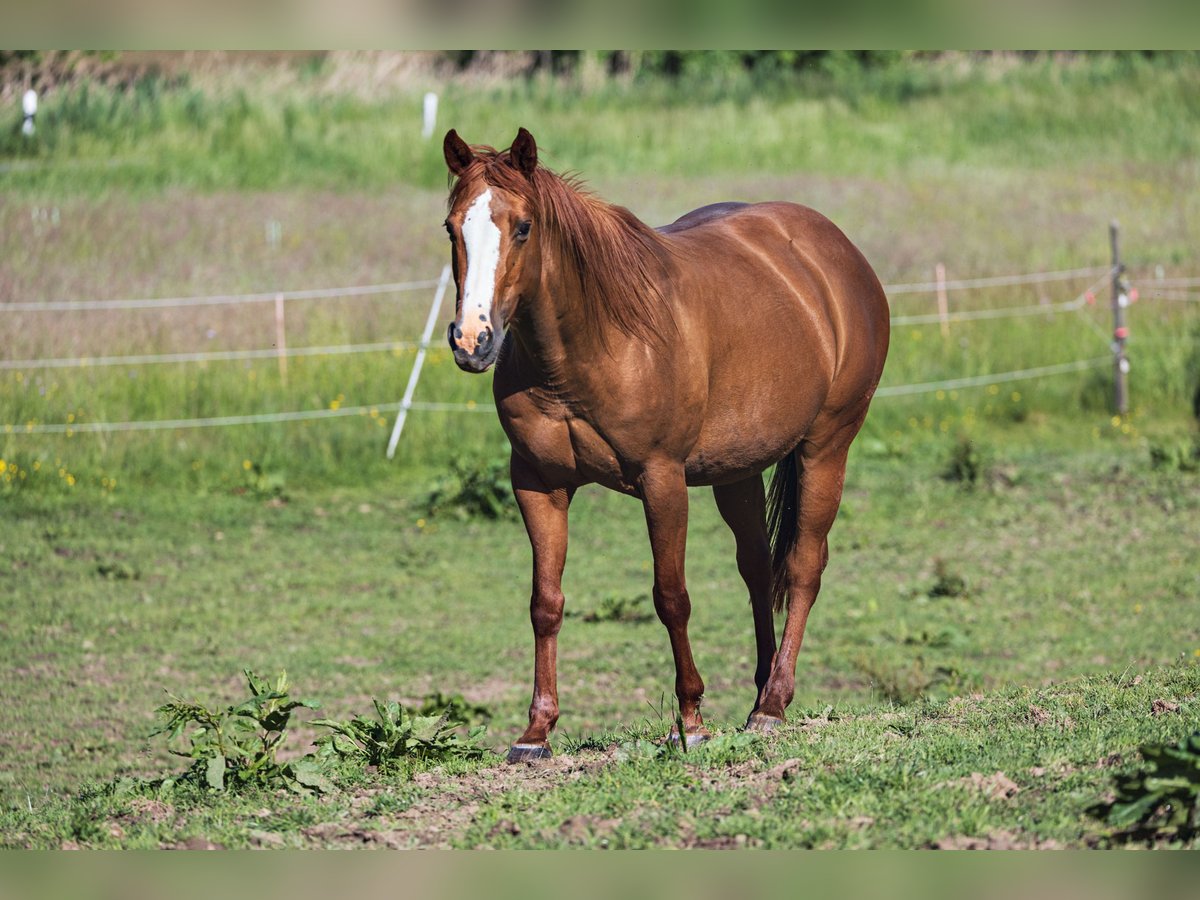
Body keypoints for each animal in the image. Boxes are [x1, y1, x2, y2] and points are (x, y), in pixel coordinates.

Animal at [441, 127, 892, 763]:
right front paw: (536, 732)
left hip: (826, 447)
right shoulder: (537, 483)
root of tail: (837, 252)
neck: (592, 341)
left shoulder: (662, 480)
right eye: (452, 227)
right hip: (737, 469)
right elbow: (545, 602)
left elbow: (671, 596)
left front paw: (692, 721)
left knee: (804, 566)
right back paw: (759, 691)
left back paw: (774, 704)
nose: (472, 340)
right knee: (757, 568)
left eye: (524, 227)